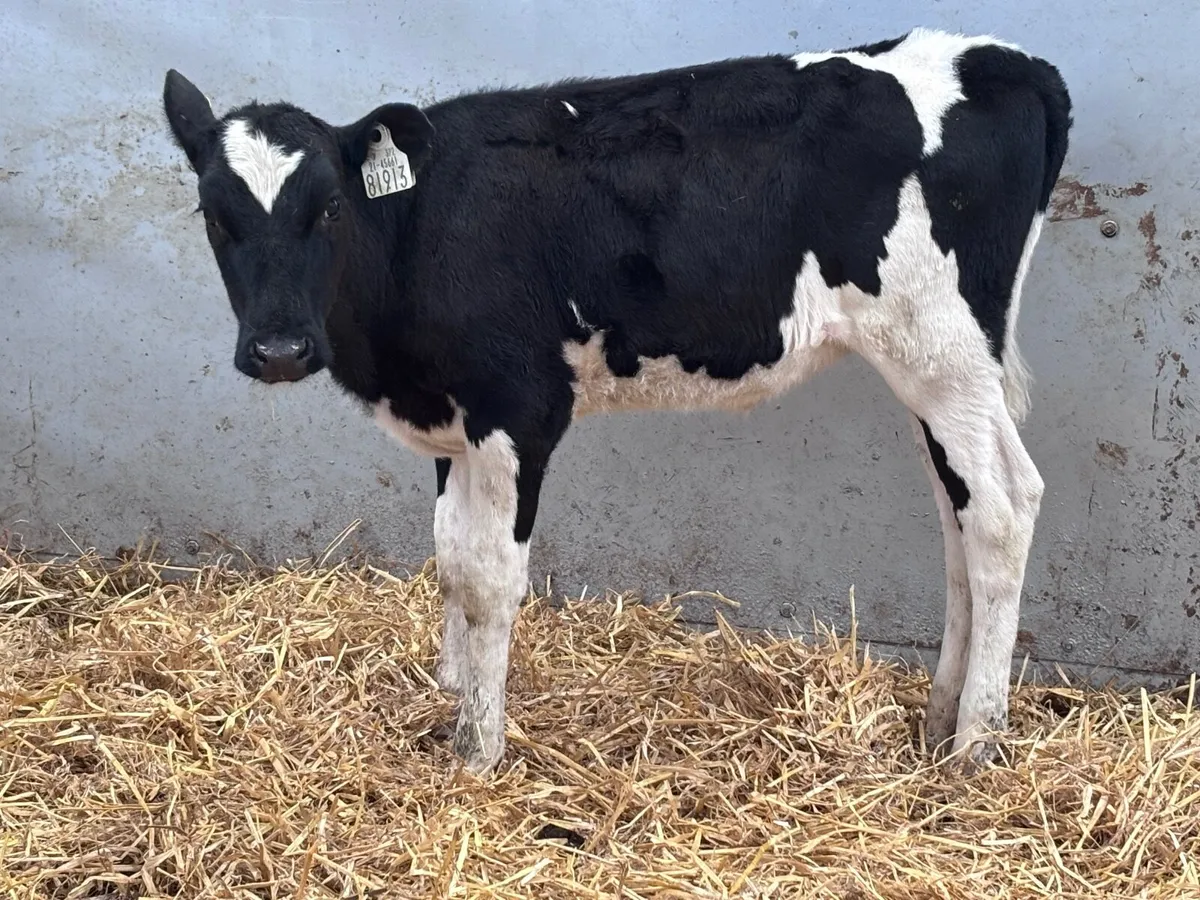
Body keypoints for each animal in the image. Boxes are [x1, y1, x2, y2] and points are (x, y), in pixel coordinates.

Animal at [161, 26, 1071, 774]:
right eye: (212, 214)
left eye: (329, 207)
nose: (280, 350)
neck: (419, 231)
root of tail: (1011, 60)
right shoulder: (454, 420)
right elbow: (449, 558)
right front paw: (449, 691)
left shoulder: (517, 408)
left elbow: (489, 578)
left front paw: (477, 748)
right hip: (939, 371)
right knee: (957, 512)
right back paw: (940, 716)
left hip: (941, 349)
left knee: (1003, 506)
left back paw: (976, 742)